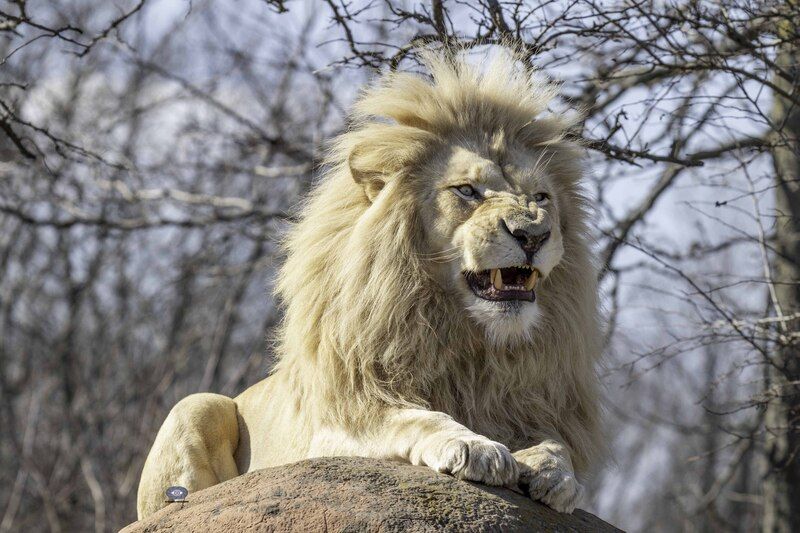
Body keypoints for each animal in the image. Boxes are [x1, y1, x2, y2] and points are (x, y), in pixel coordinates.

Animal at [137, 49, 605, 520]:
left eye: (541, 198)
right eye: (467, 191)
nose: (533, 235)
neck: (468, 341)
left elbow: (555, 444)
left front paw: (553, 473)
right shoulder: (340, 421)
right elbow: (412, 418)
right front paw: (475, 447)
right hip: (194, 406)